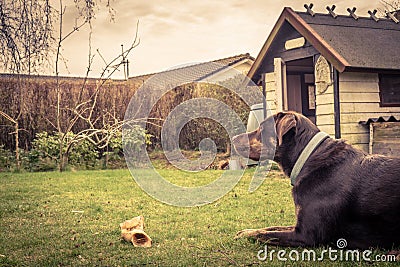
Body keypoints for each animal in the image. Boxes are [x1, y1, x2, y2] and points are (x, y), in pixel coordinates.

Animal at [231, 112, 400, 250]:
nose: (233, 138)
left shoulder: (306, 235)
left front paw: (245, 234)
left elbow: (265, 235)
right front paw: (246, 231)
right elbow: (270, 228)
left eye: (261, 129)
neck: (308, 158)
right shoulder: (298, 225)